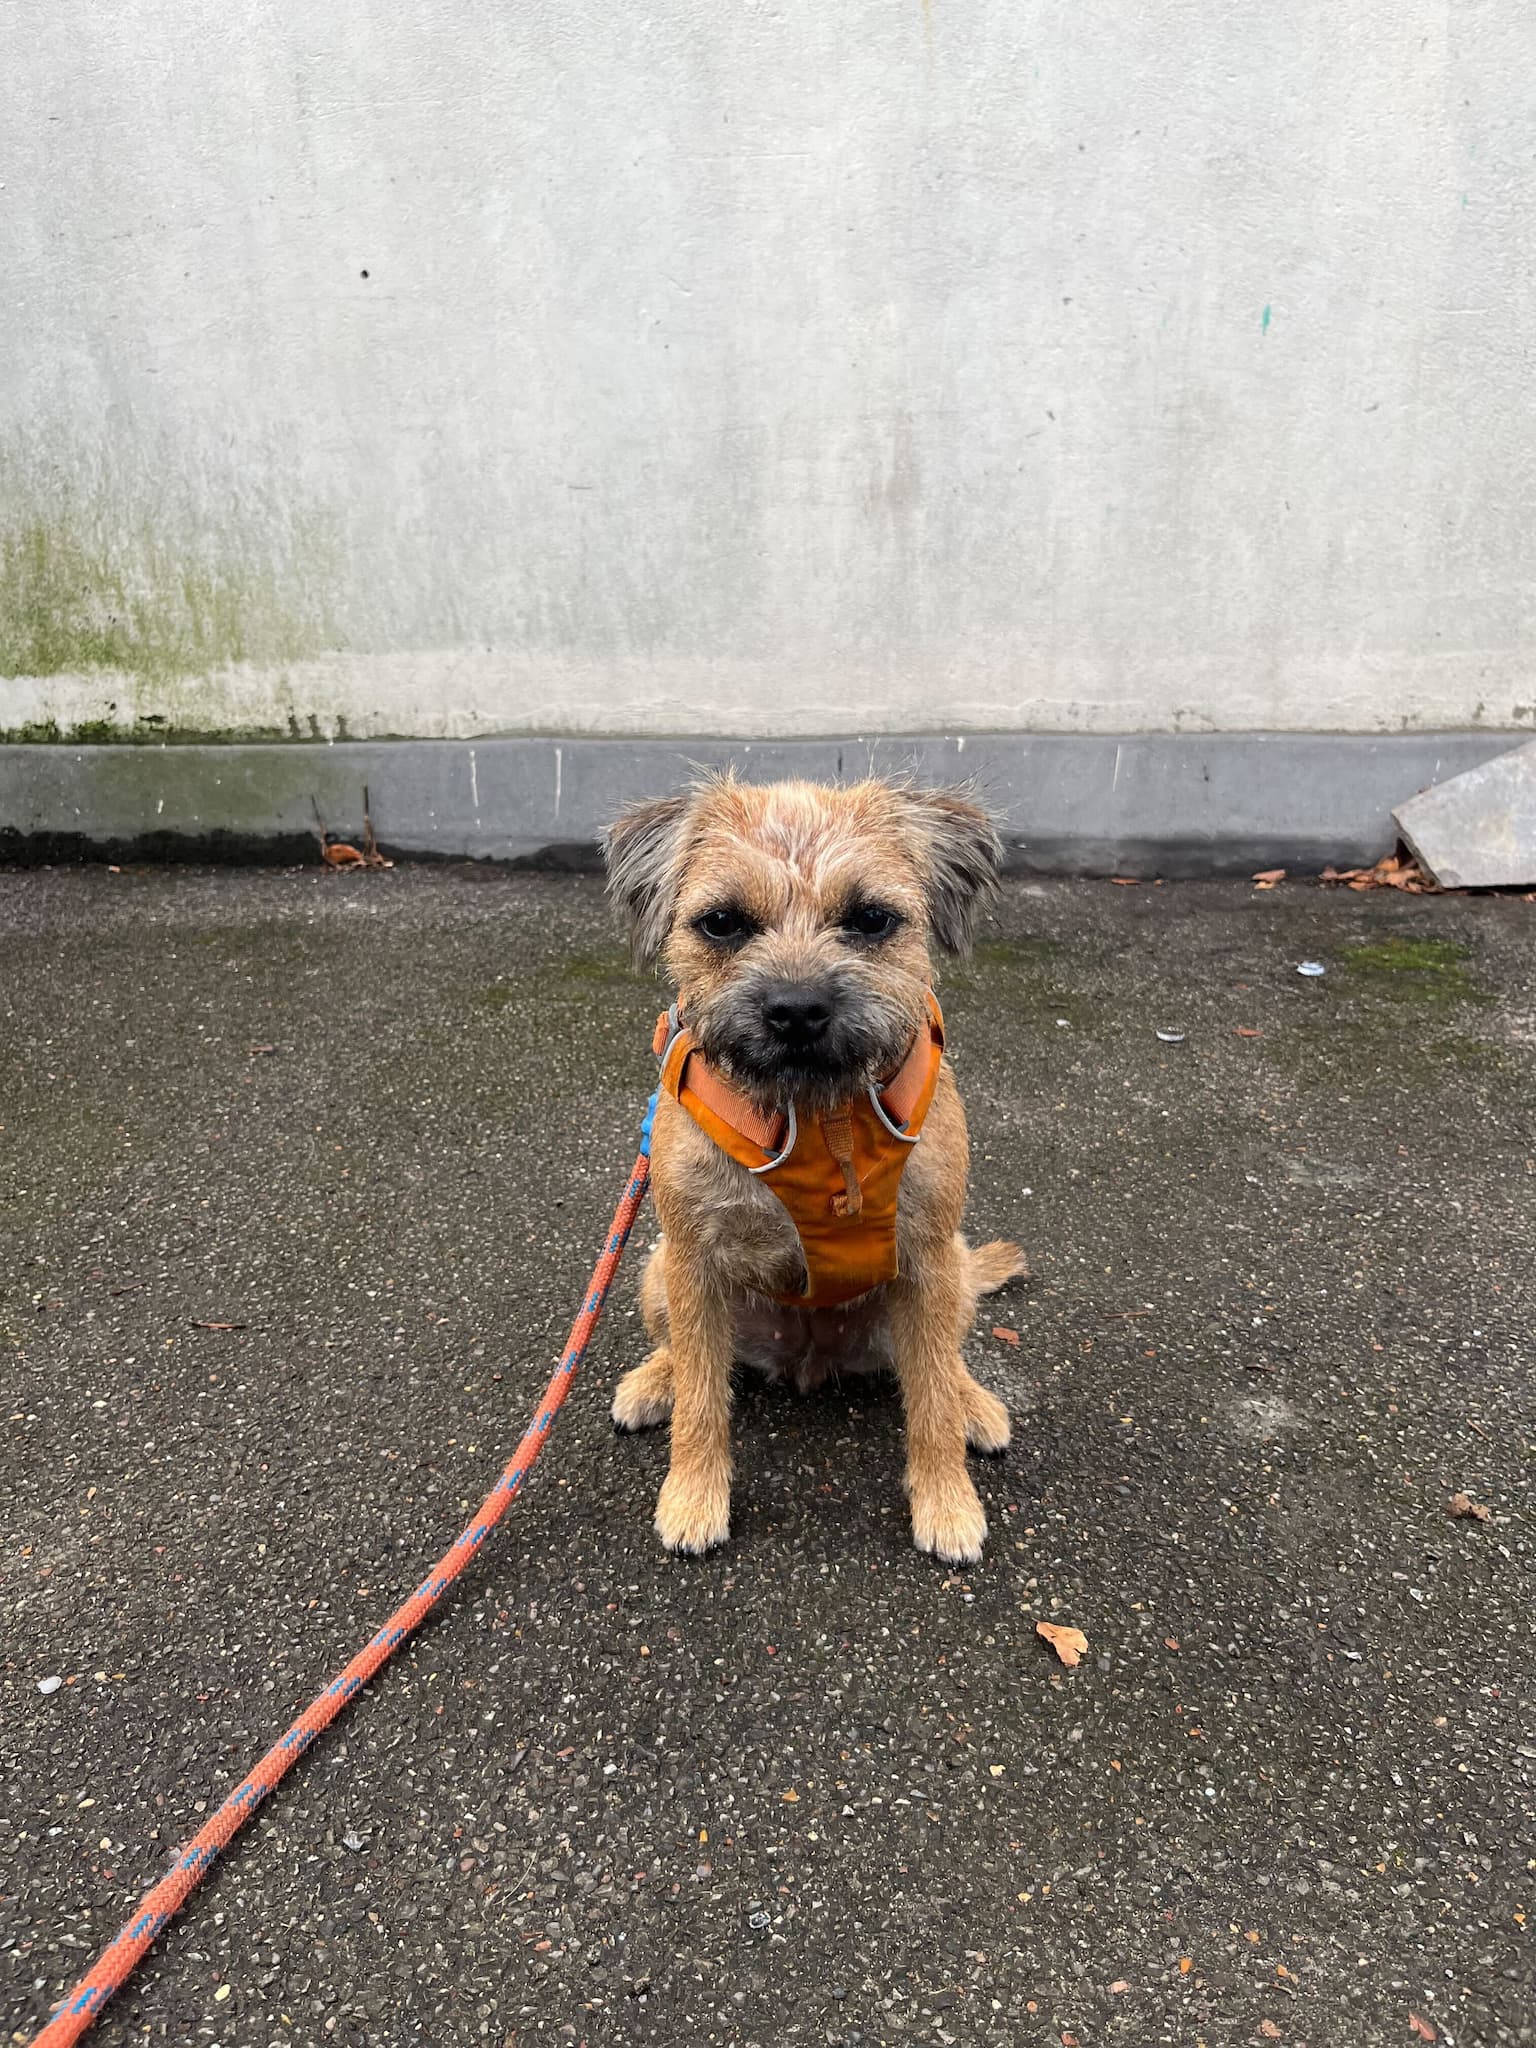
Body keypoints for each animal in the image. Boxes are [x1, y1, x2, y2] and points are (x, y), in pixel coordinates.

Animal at [602, 774, 1024, 1556]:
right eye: (722, 924)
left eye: (870, 919)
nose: (796, 1009)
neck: (816, 1115)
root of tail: (808, 1359)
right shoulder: (693, 1261)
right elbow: (703, 1398)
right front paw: (694, 1496)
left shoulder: (927, 1262)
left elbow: (930, 1406)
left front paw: (947, 1502)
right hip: (654, 1268)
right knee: (685, 1354)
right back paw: (654, 1380)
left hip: (952, 1275)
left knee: (944, 1364)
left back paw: (974, 1402)